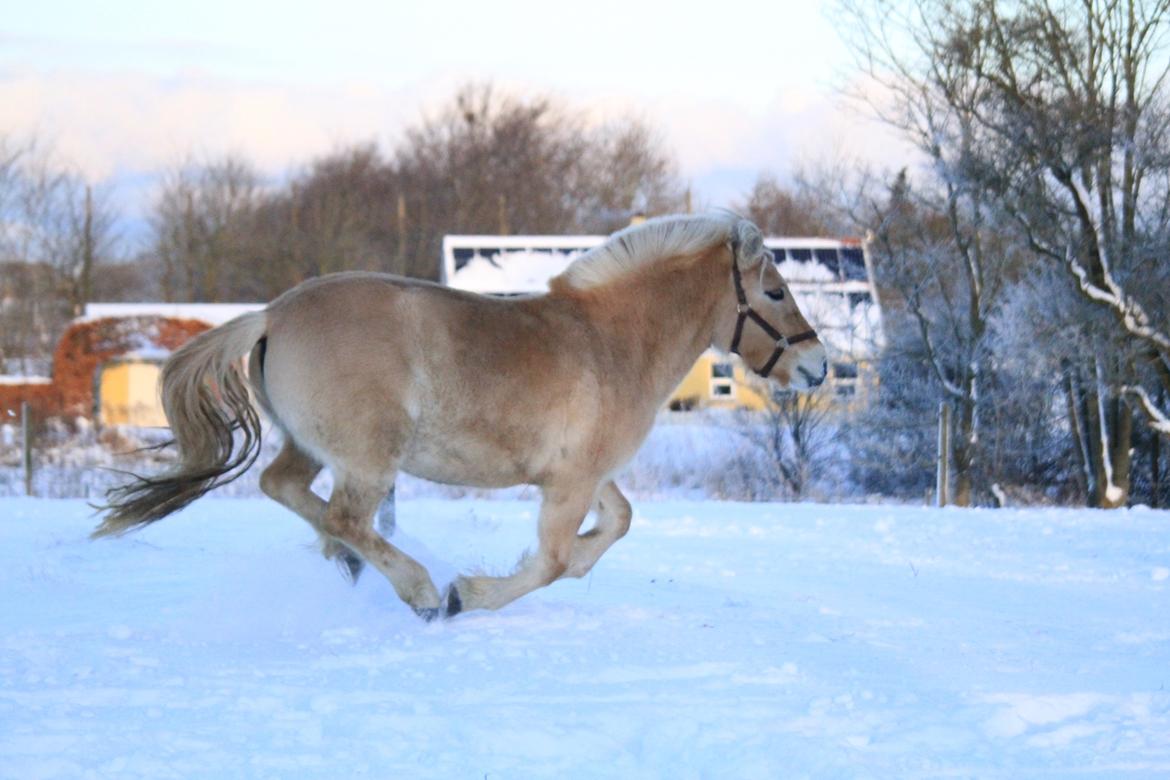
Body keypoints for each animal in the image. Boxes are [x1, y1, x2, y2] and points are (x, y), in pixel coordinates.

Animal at [95, 214, 828, 622]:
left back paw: (351, 568)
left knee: (291, 492)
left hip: (315, 448)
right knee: (344, 517)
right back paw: (417, 589)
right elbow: (553, 562)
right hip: (369, 459)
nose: (818, 367)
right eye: (774, 291)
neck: (609, 341)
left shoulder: (583, 476)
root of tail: (272, 314)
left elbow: (614, 526)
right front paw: (462, 597)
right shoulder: (569, 485)